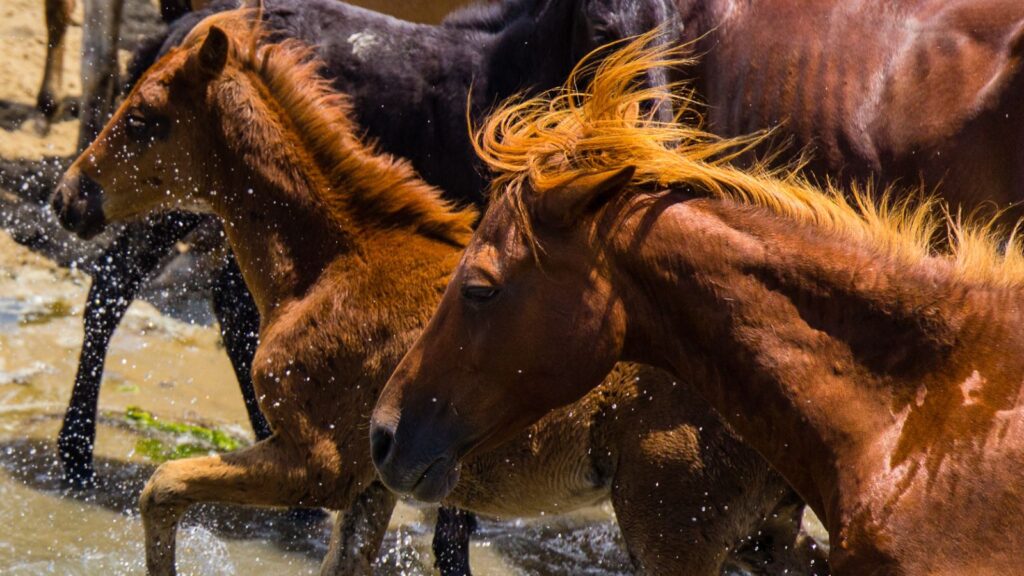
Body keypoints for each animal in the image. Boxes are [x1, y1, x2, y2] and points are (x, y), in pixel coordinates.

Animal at [51, 13, 827, 573]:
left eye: (145, 116)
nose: (67, 197)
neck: (329, 264)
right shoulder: (369, 485)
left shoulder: (317, 465)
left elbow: (161, 487)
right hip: (762, 530)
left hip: (674, 526)